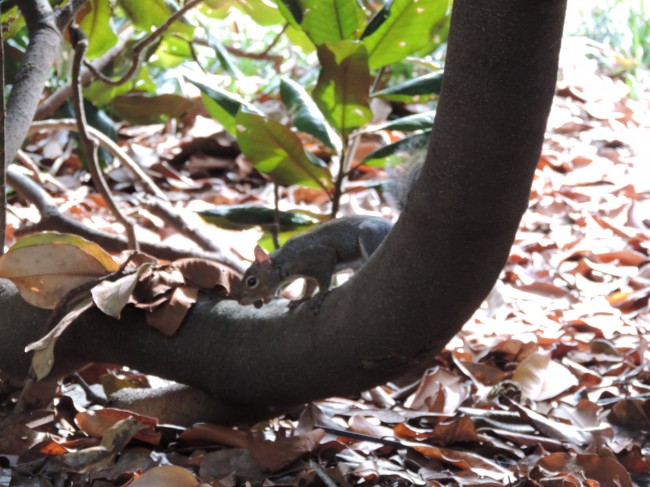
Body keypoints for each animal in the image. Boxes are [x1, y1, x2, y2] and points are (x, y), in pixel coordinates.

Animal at [237, 158, 423, 310]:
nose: (240, 300)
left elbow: (324, 279)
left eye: (252, 281)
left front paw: (320, 295)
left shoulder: (319, 257)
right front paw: (301, 299)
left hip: (370, 234)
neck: (287, 259)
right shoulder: (309, 274)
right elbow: (309, 286)